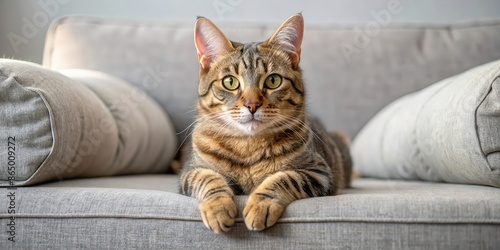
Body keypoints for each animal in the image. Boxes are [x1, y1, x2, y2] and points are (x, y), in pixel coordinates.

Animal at [180, 13, 352, 232]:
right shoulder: (191, 170)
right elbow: (208, 179)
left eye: (273, 81)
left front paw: (260, 205)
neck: (248, 146)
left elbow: (285, 178)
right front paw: (218, 208)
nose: (252, 105)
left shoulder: (319, 172)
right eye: (230, 82)